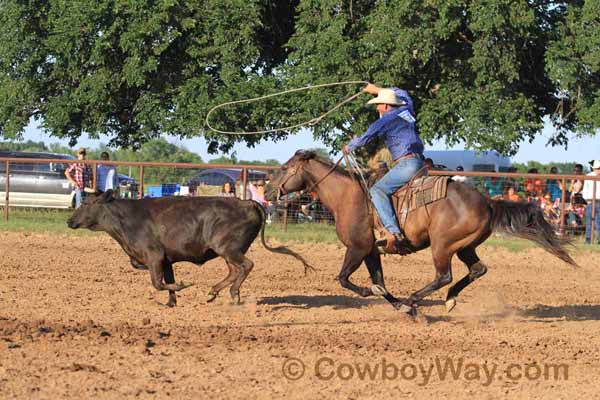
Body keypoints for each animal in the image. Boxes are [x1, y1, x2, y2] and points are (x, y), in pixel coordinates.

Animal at [268, 150, 576, 316]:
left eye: (284, 168)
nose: (270, 191)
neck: (347, 197)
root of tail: (488, 201)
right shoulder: (371, 251)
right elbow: (381, 283)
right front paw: (398, 307)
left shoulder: (357, 247)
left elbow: (344, 279)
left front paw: (375, 294)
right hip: (465, 246)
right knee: (477, 269)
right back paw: (448, 299)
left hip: (442, 245)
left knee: (444, 275)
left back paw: (417, 298)